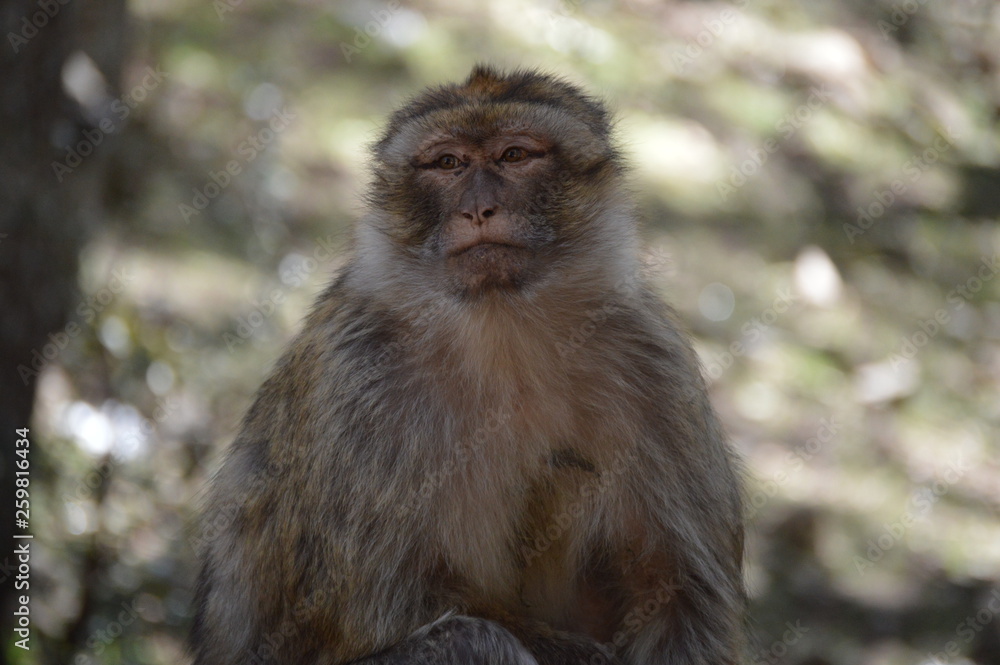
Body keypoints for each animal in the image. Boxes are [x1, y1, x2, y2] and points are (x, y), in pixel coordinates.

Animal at [191, 63, 748, 664]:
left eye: (513, 155)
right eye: (448, 164)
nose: (477, 209)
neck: (501, 333)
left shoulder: (655, 365)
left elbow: (681, 594)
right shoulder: (354, 376)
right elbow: (367, 602)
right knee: (473, 639)